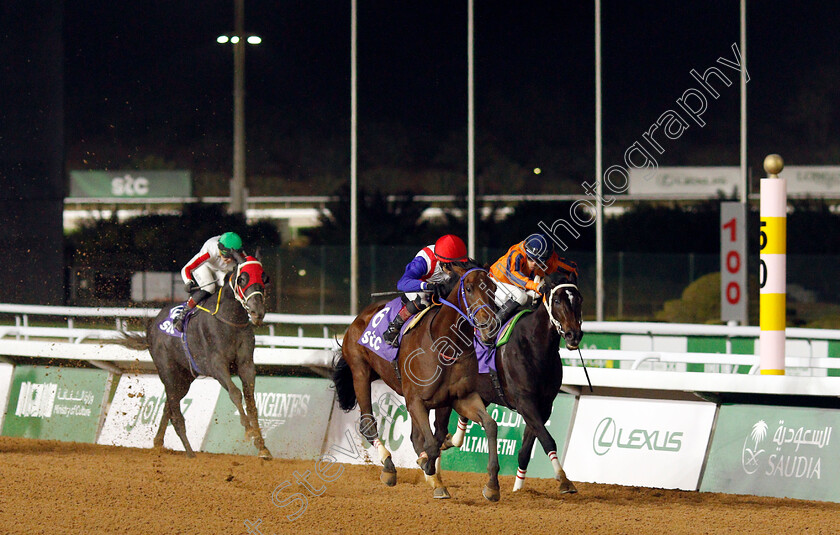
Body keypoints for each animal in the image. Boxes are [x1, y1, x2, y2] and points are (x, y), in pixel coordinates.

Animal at [113, 255, 270, 460]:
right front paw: (249, 430)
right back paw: (189, 453)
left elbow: (251, 401)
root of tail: (152, 326)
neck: (231, 320)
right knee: (176, 414)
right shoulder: (217, 366)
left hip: (184, 378)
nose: (257, 312)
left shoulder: (246, 365)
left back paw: (159, 443)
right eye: (242, 279)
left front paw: (262, 446)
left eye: (264, 278)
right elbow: (235, 393)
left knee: (168, 407)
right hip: (168, 372)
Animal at [332, 264, 502, 502]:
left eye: (493, 289)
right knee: (368, 424)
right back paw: (388, 466)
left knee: (419, 436)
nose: (490, 326)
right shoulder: (416, 401)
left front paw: (492, 485)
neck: (446, 344)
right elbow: (430, 444)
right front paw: (430, 471)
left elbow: (490, 425)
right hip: (360, 372)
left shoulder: (460, 397)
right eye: (468, 288)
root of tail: (360, 317)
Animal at [442, 272, 580, 494]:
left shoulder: (543, 405)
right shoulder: (525, 402)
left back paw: (451, 441)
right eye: (557, 300)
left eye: (579, 299)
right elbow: (547, 440)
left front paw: (518, 489)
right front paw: (564, 479)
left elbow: (526, 450)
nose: (573, 335)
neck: (534, 347)